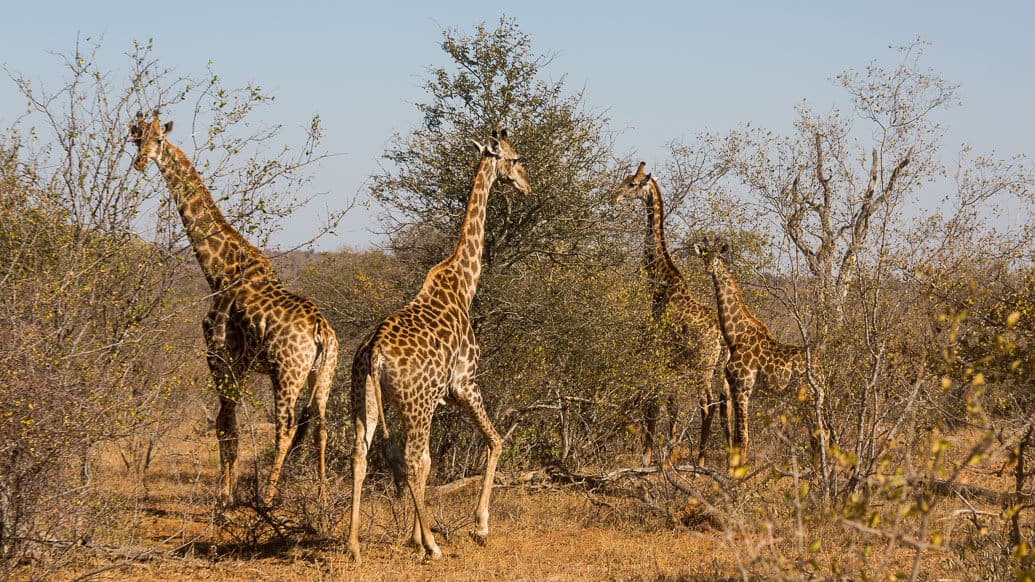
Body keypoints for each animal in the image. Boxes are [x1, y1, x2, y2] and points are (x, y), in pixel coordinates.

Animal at [123, 109, 337, 503]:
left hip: (287, 371)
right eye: (136, 139)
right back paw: (323, 497)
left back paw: (267, 497)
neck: (217, 267)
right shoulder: (240, 362)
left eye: (158, 140)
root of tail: (321, 332)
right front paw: (229, 489)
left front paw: (226, 495)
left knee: (285, 427)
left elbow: (225, 424)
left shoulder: (217, 353)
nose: (141, 161)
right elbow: (229, 423)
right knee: (321, 424)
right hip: (323, 372)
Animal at [349, 128, 529, 559]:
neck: (464, 285)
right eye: (515, 159)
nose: (526, 185)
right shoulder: (464, 384)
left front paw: (415, 535)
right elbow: (495, 441)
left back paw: (354, 544)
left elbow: (436, 463)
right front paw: (479, 528)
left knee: (362, 454)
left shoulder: (441, 397)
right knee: (412, 459)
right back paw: (433, 546)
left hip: (364, 398)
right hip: (415, 403)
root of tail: (374, 354)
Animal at [612, 160, 728, 459]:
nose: (614, 197)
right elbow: (671, 403)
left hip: (703, 365)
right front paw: (669, 444)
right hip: (721, 368)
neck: (661, 280)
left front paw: (648, 453)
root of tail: (722, 338)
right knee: (726, 405)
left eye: (632, 184)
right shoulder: (672, 359)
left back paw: (701, 458)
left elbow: (655, 402)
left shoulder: (658, 348)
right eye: (624, 180)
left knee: (707, 404)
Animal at [691, 237, 828, 457]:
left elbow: (743, 438)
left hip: (809, 398)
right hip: (812, 398)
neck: (735, 335)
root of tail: (821, 369)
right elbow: (737, 438)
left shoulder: (742, 387)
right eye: (705, 254)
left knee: (821, 435)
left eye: (718, 256)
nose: (708, 267)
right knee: (820, 436)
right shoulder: (738, 389)